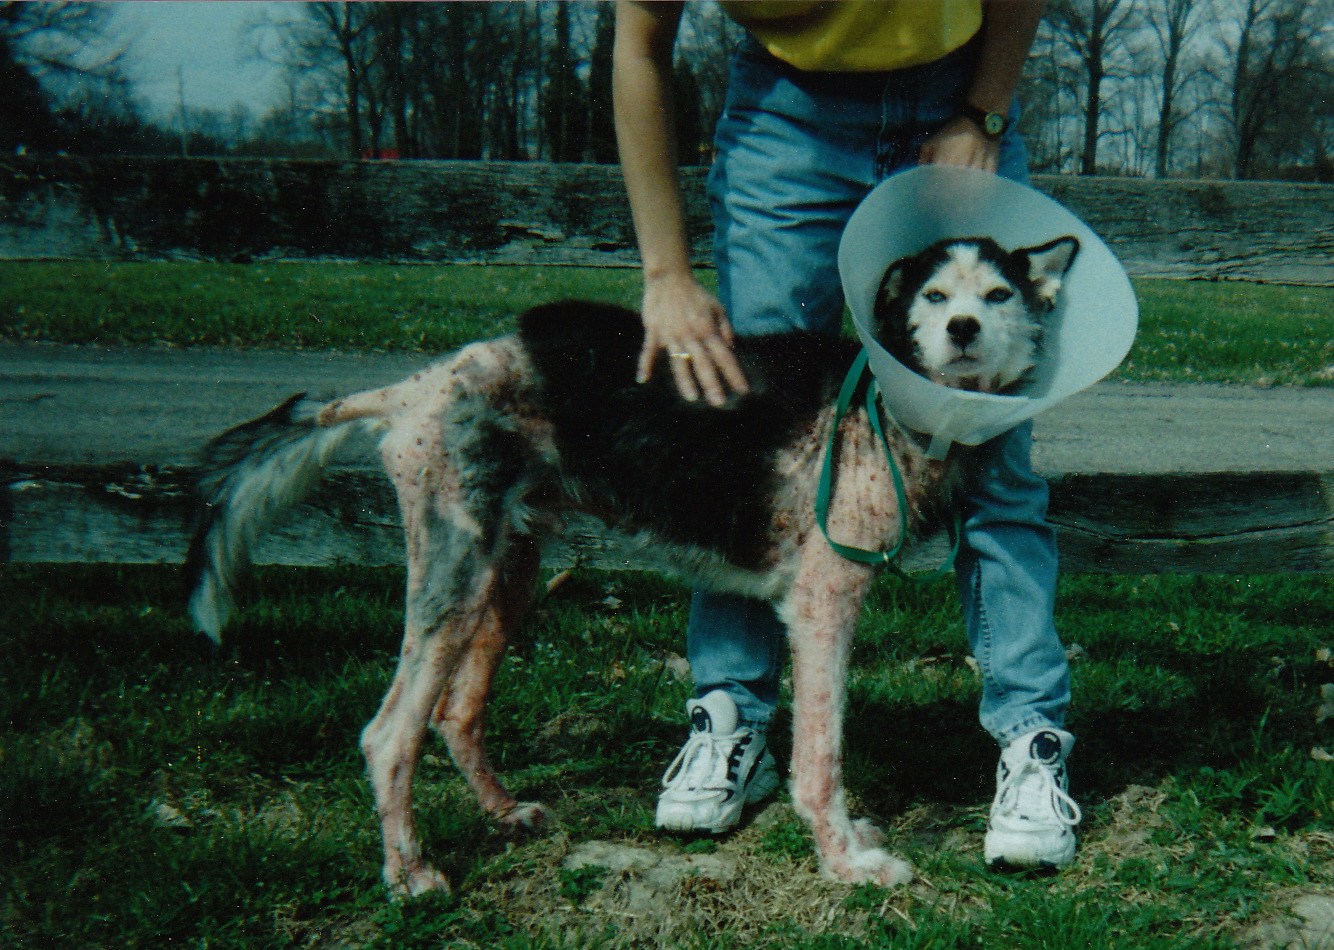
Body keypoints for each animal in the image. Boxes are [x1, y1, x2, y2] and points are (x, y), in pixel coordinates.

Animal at [188, 233, 1077, 896]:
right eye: (934, 297)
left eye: (998, 297)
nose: (964, 331)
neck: (885, 398)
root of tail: (415, 388)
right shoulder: (824, 606)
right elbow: (820, 760)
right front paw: (848, 862)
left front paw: (848, 844)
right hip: (453, 581)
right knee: (389, 735)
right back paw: (411, 877)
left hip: (508, 578)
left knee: (456, 714)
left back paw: (505, 816)